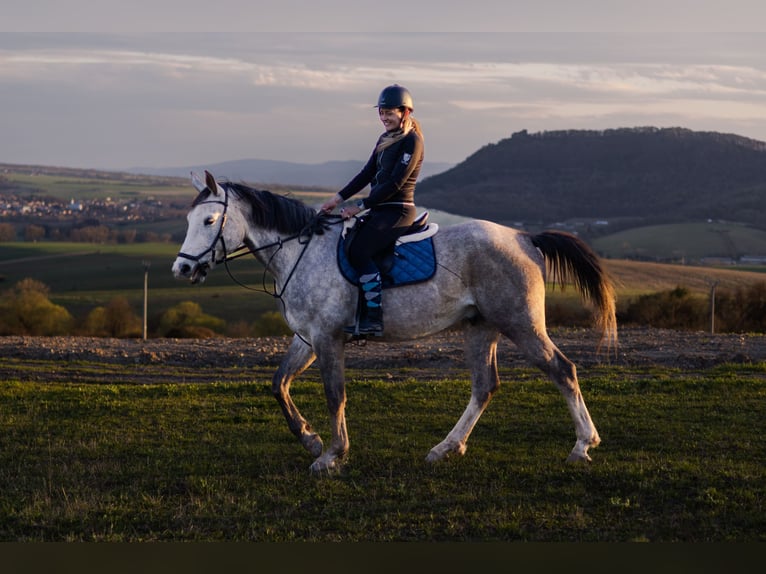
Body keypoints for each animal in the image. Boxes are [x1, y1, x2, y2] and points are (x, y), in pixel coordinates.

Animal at [172, 171, 617, 473]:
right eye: (189, 220)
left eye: (209, 222)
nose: (182, 269)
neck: (300, 252)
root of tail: (524, 238)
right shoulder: (307, 337)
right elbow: (279, 384)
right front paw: (311, 440)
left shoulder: (327, 338)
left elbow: (335, 395)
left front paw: (332, 455)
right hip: (481, 326)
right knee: (484, 386)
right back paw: (445, 449)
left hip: (521, 324)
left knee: (562, 370)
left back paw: (582, 445)